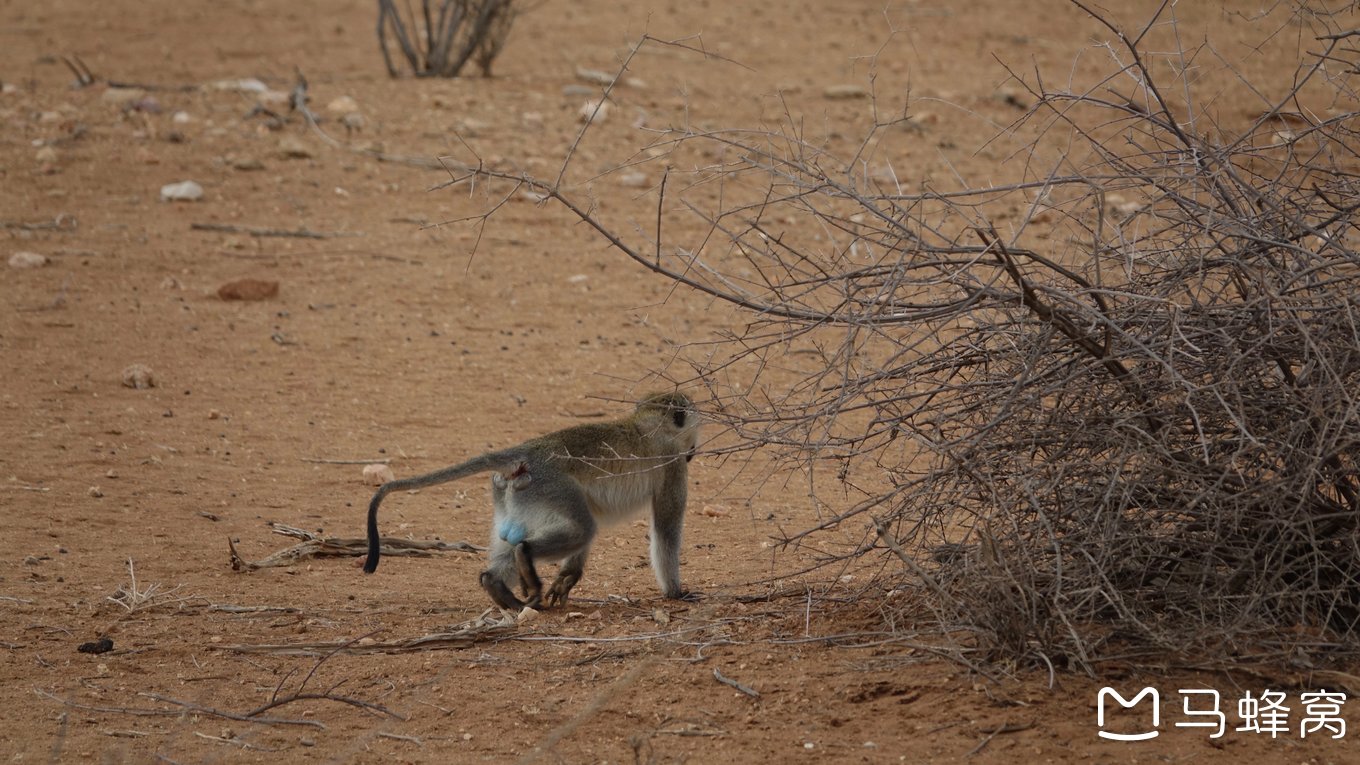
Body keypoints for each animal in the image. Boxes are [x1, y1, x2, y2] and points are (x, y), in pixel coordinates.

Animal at [364, 392, 701, 607]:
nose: (693, 452)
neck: (647, 425)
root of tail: (527, 452)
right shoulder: (672, 463)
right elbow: (666, 531)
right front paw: (676, 592)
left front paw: (568, 576)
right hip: (551, 487)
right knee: (580, 529)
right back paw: (524, 557)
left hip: (511, 495)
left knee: (519, 540)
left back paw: (497, 587)